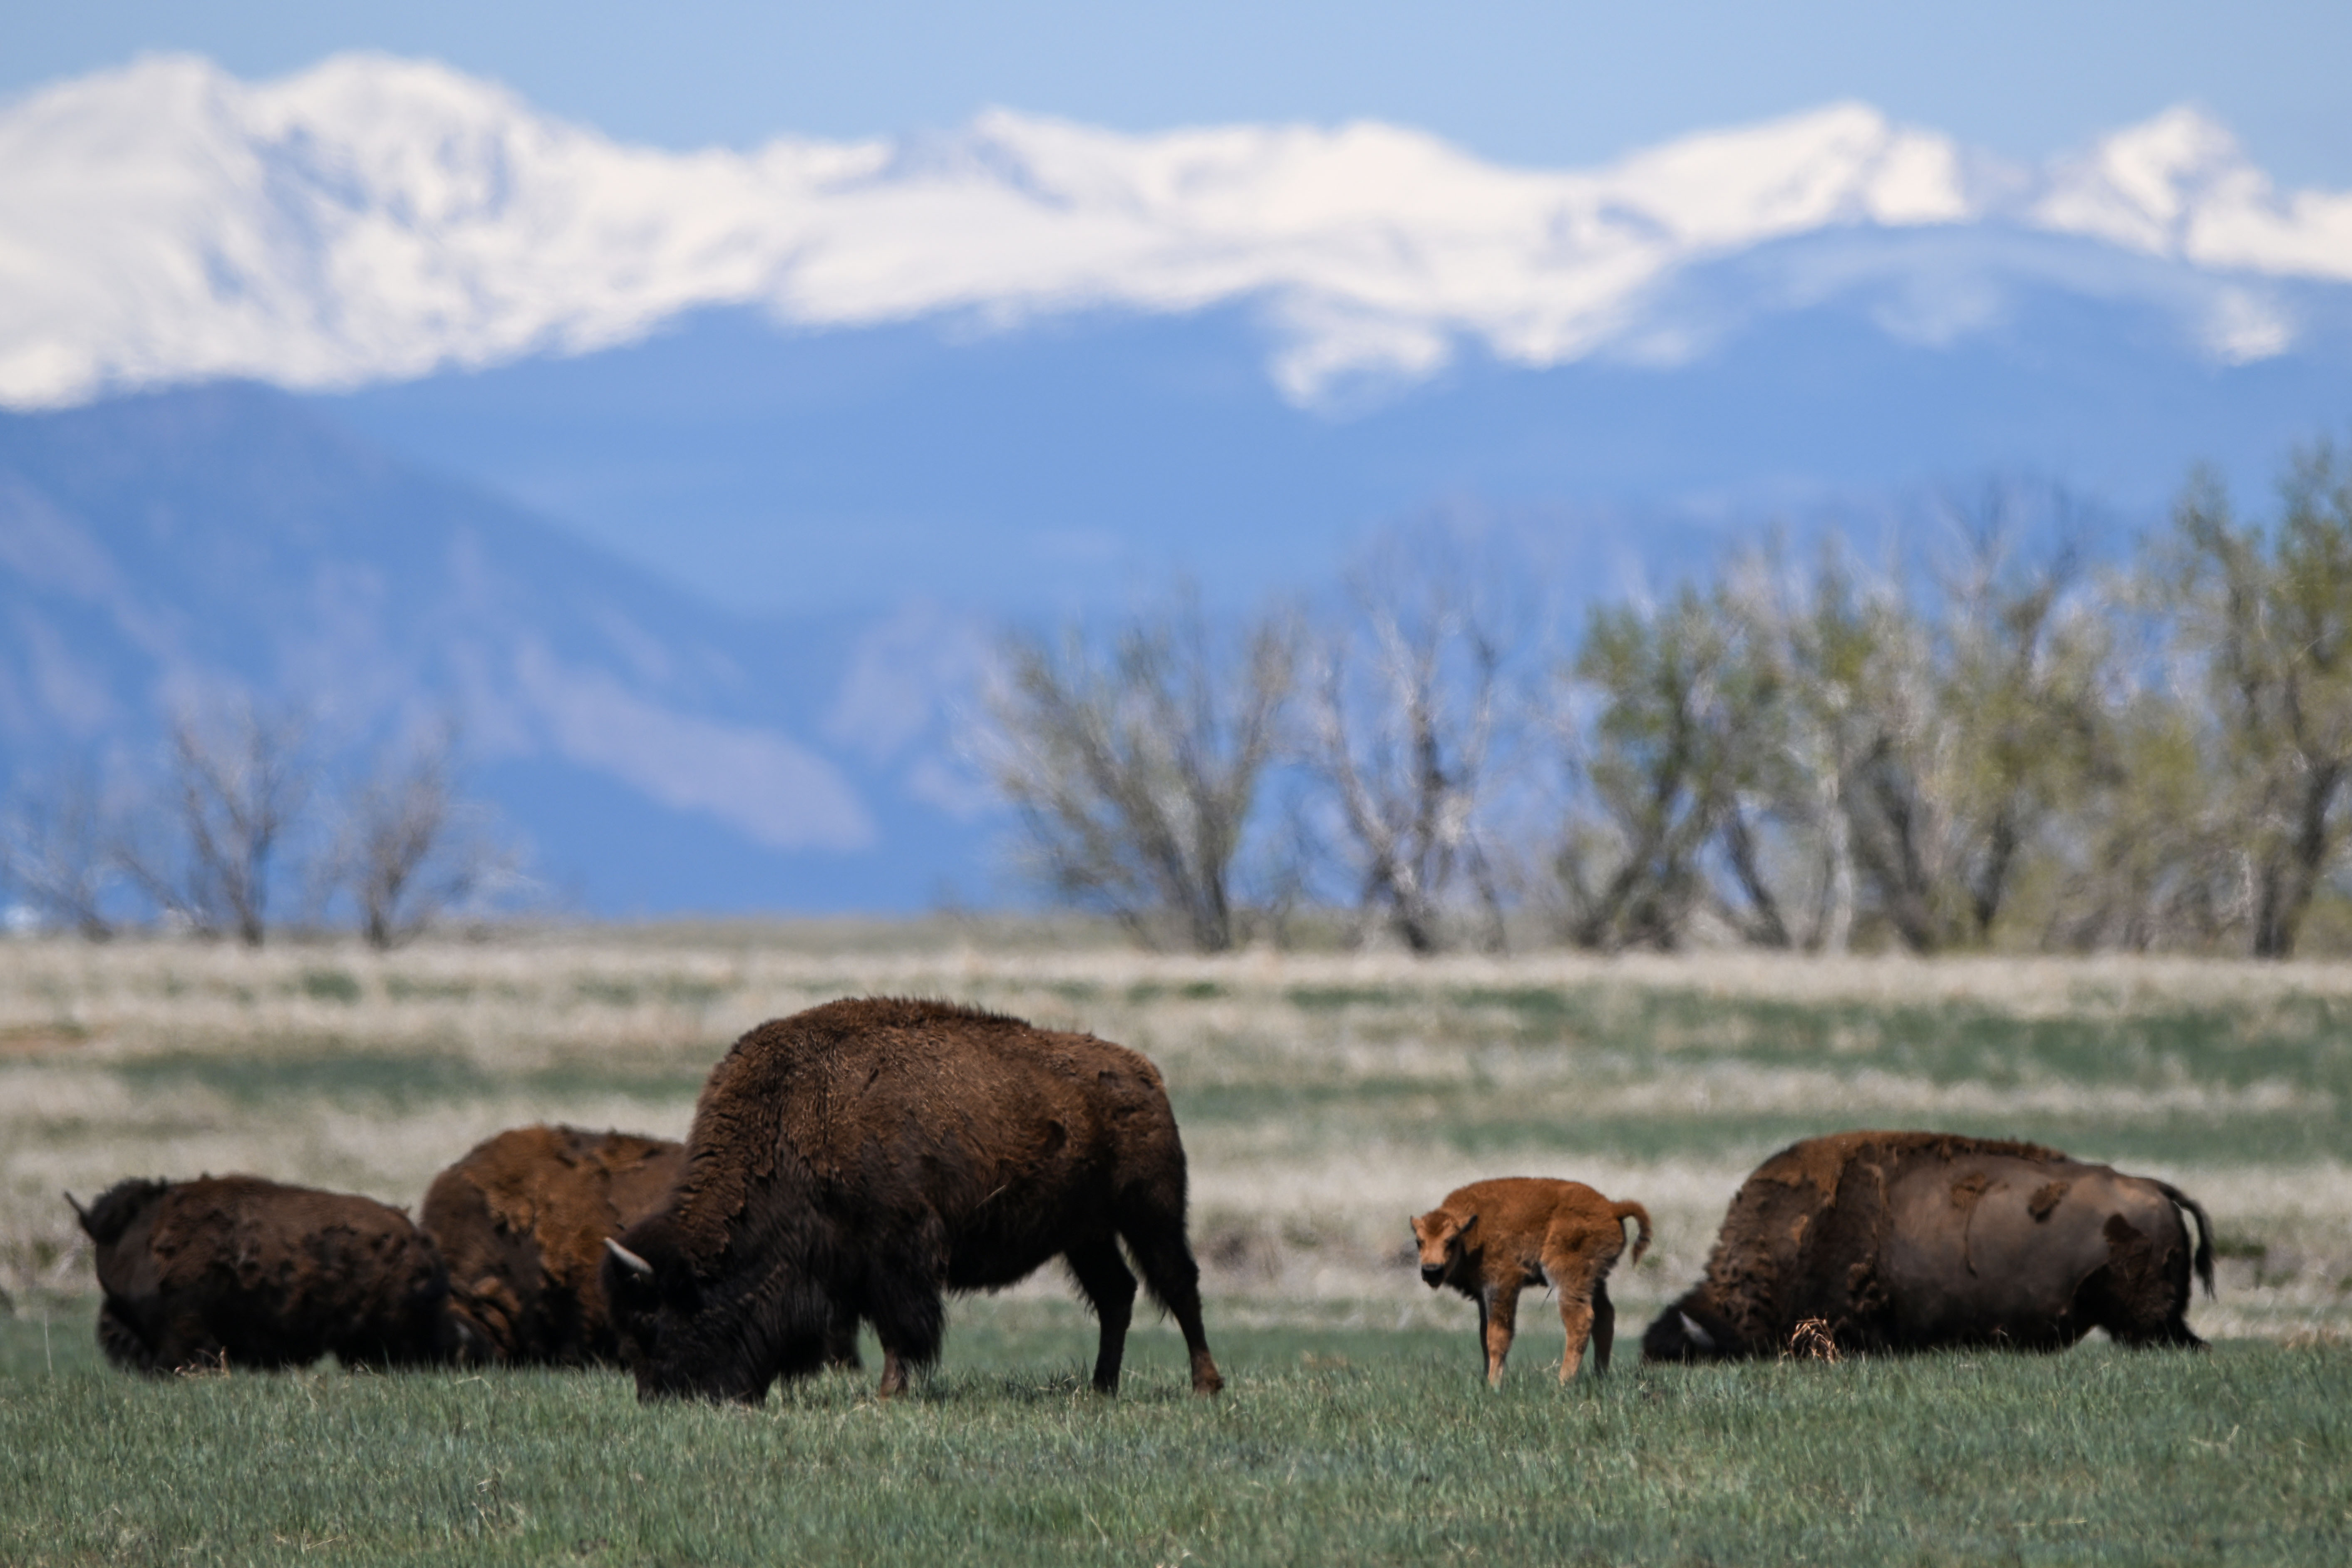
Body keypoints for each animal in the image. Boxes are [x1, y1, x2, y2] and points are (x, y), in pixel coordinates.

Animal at [602, 997, 1224, 1403]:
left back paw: (1205, 1386)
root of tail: (1142, 1072)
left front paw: (888, 1394)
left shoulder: (895, 1251)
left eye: (654, 1319)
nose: (662, 1399)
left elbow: (900, 1327)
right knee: (1117, 1295)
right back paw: (1101, 1389)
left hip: (1151, 1214)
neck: (793, 1116)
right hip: (1086, 1235)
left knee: (1178, 1287)